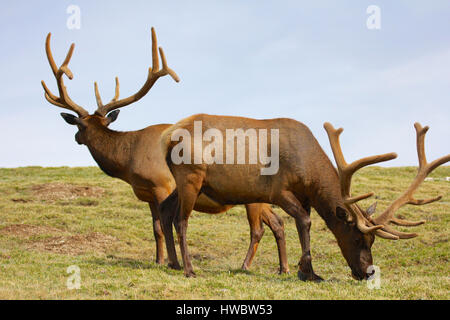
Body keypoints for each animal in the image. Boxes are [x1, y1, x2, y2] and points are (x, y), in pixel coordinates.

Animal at [41, 26, 288, 272]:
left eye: (80, 126)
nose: (76, 137)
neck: (129, 161)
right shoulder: (148, 194)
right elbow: (155, 229)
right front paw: (160, 259)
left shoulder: (162, 184)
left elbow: (162, 226)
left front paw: (169, 261)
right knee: (278, 222)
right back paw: (283, 268)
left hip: (252, 194)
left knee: (258, 229)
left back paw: (246, 266)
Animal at [160, 114, 448, 278]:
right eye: (357, 237)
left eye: (373, 241)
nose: (367, 273)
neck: (310, 174)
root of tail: (168, 138)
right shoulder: (278, 190)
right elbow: (304, 222)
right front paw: (307, 271)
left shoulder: (305, 197)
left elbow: (301, 224)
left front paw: (297, 268)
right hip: (191, 177)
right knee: (181, 221)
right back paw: (189, 269)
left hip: (184, 183)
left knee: (164, 208)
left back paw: (172, 263)